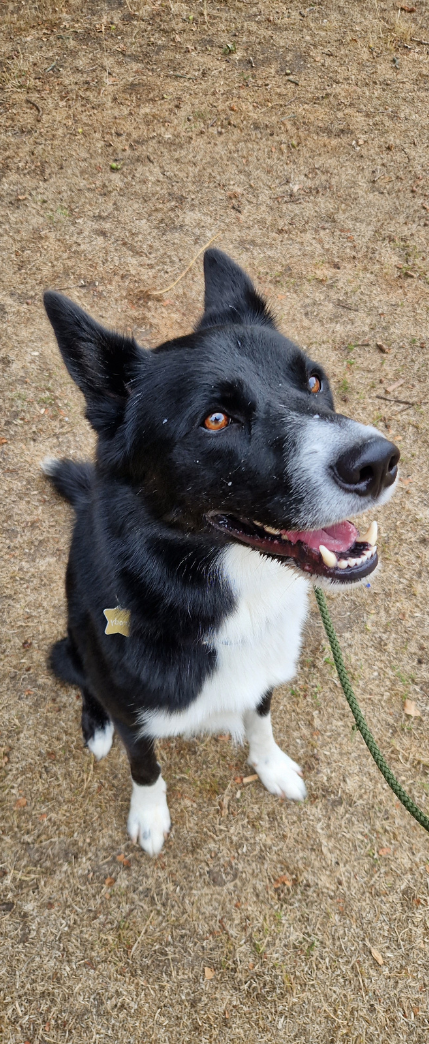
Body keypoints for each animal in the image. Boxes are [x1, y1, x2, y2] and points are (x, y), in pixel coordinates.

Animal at [42, 246, 400, 856]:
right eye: (216, 419)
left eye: (313, 381)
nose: (379, 462)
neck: (234, 591)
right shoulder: (133, 712)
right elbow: (144, 765)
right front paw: (149, 815)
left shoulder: (261, 675)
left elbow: (261, 719)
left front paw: (271, 766)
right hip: (72, 646)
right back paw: (95, 726)